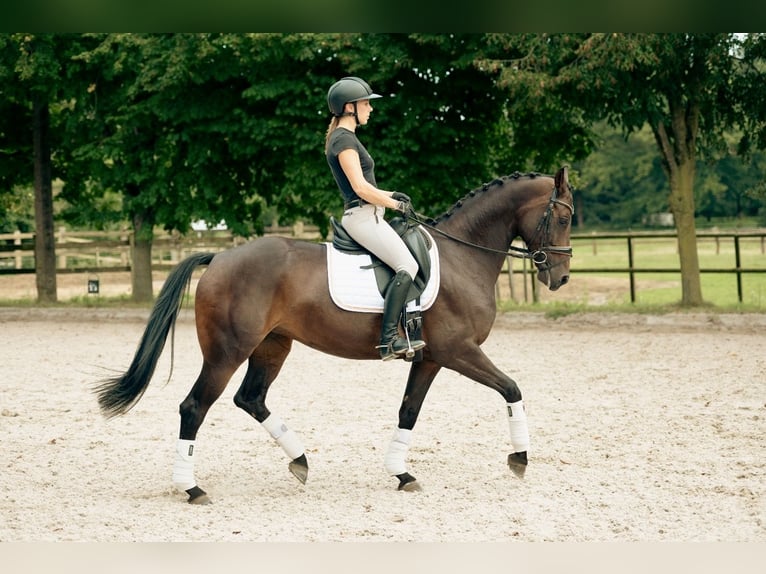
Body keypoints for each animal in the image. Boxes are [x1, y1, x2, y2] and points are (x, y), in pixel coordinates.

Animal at [94, 165, 576, 504]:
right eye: (564, 218)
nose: (561, 278)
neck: (463, 257)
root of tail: (220, 258)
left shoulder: (431, 357)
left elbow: (408, 411)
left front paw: (402, 474)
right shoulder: (459, 351)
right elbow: (511, 388)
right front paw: (520, 459)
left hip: (273, 346)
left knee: (251, 399)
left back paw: (300, 460)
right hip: (227, 352)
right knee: (195, 407)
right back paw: (193, 488)